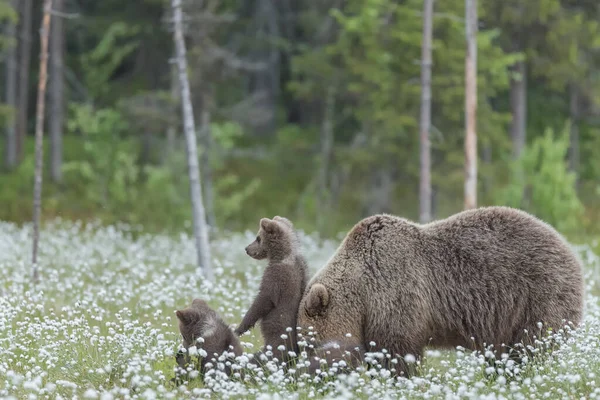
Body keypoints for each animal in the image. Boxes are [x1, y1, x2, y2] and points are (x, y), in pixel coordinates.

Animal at [298, 208, 584, 376]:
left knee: (529, 344)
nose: (308, 373)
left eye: (308, 343)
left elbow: (397, 350)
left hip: (537, 293)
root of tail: (570, 249)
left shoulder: (396, 291)